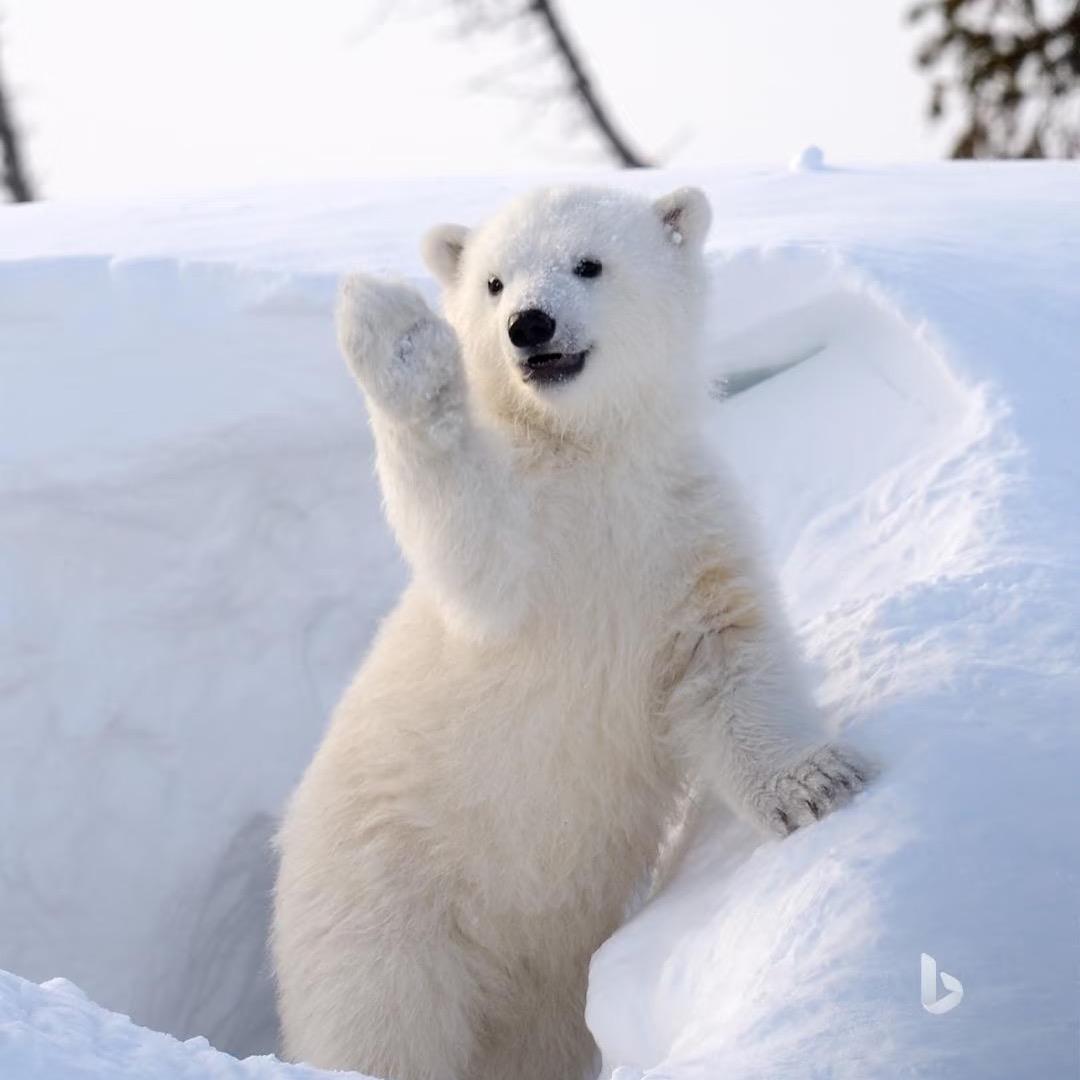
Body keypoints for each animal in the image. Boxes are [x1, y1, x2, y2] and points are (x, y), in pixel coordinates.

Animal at [272, 185, 871, 1080]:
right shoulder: (526, 551)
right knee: (381, 1029)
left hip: (541, 976)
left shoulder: (683, 531)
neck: (589, 457)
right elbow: (470, 544)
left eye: (588, 263)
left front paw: (816, 786)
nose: (529, 324)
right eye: (492, 282)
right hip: (384, 904)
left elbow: (728, 659)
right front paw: (398, 334)